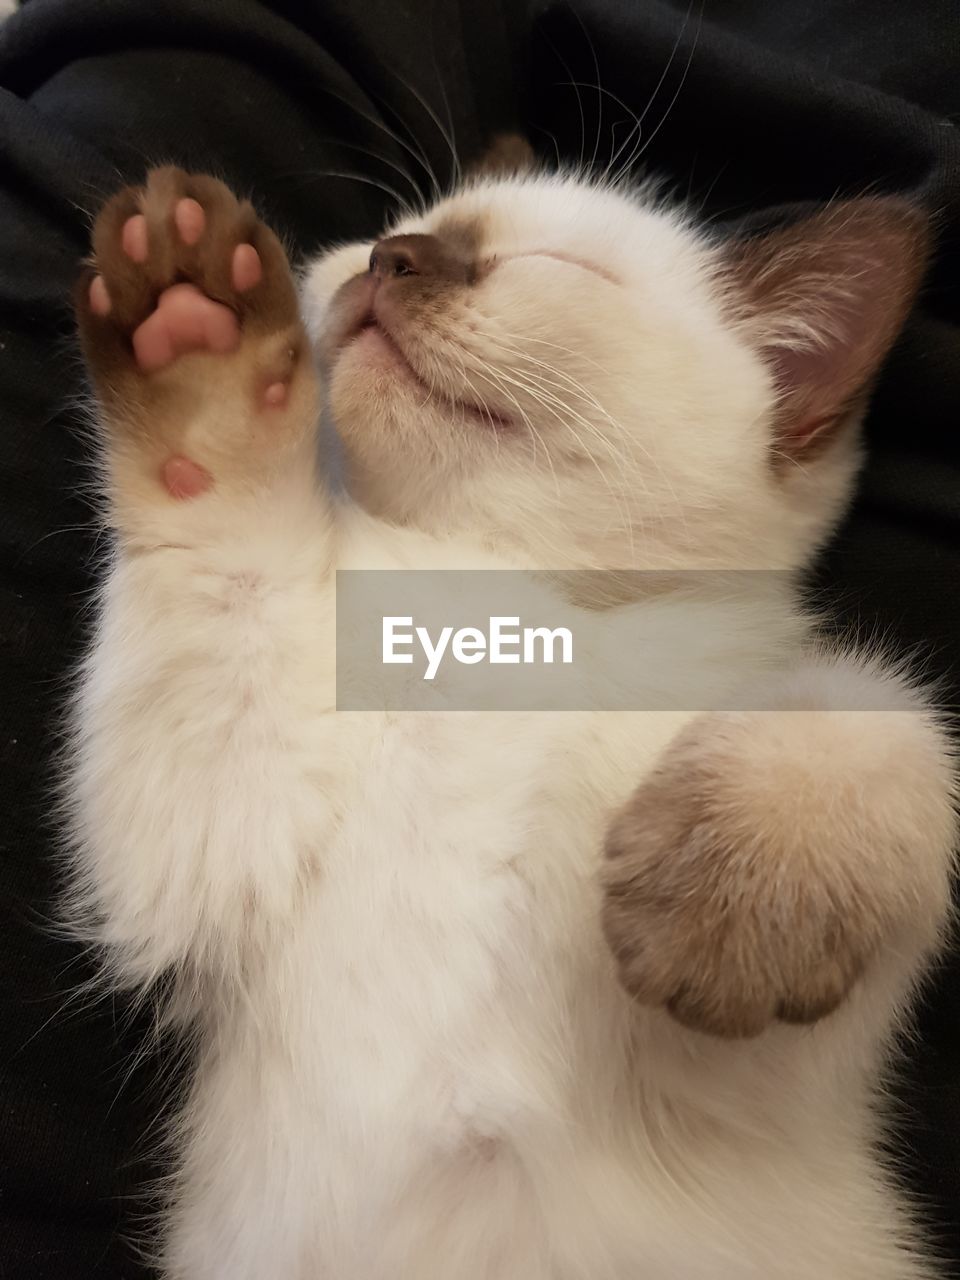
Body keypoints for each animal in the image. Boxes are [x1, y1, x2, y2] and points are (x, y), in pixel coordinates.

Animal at [65, 154, 957, 1274]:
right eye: (397, 231)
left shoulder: (738, 1068)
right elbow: (221, 528)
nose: (394, 260)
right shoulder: (217, 837)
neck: (489, 608)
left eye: (559, 266)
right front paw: (193, 336)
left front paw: (723, 899)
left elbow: (883, 701)